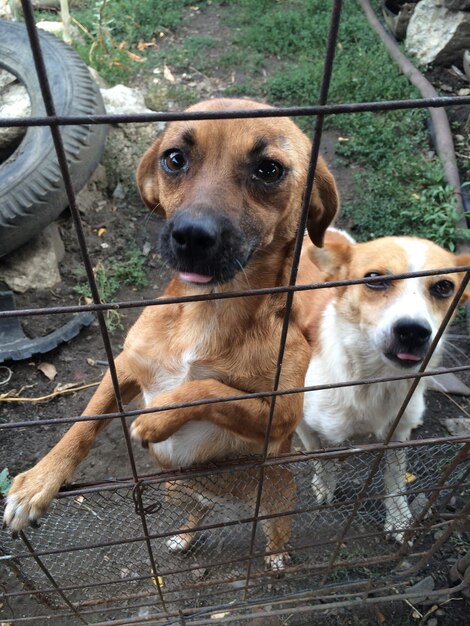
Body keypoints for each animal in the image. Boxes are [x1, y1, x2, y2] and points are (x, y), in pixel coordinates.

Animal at [4, 96, 338, 564]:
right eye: (174, 159)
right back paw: (186, 533)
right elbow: (84, 422)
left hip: (277, 489)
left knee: (278, 523)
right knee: (198, 510)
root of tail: (227, 503)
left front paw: (156, 418)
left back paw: (275, 554)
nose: (191, 235)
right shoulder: (125, 366)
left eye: (269, 169)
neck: (207, 310)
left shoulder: (281, 412)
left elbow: (211, 389)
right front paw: (39, 481)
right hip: (176, 488)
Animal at [296, 229, 468, 540]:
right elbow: (321, 457)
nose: (413, 332)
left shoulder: (398, 432)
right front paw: (324, 485)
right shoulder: (304, 421)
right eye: (374, 278)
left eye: (444, 287)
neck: (374, 379)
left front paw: (398, 518)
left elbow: (395, 478)